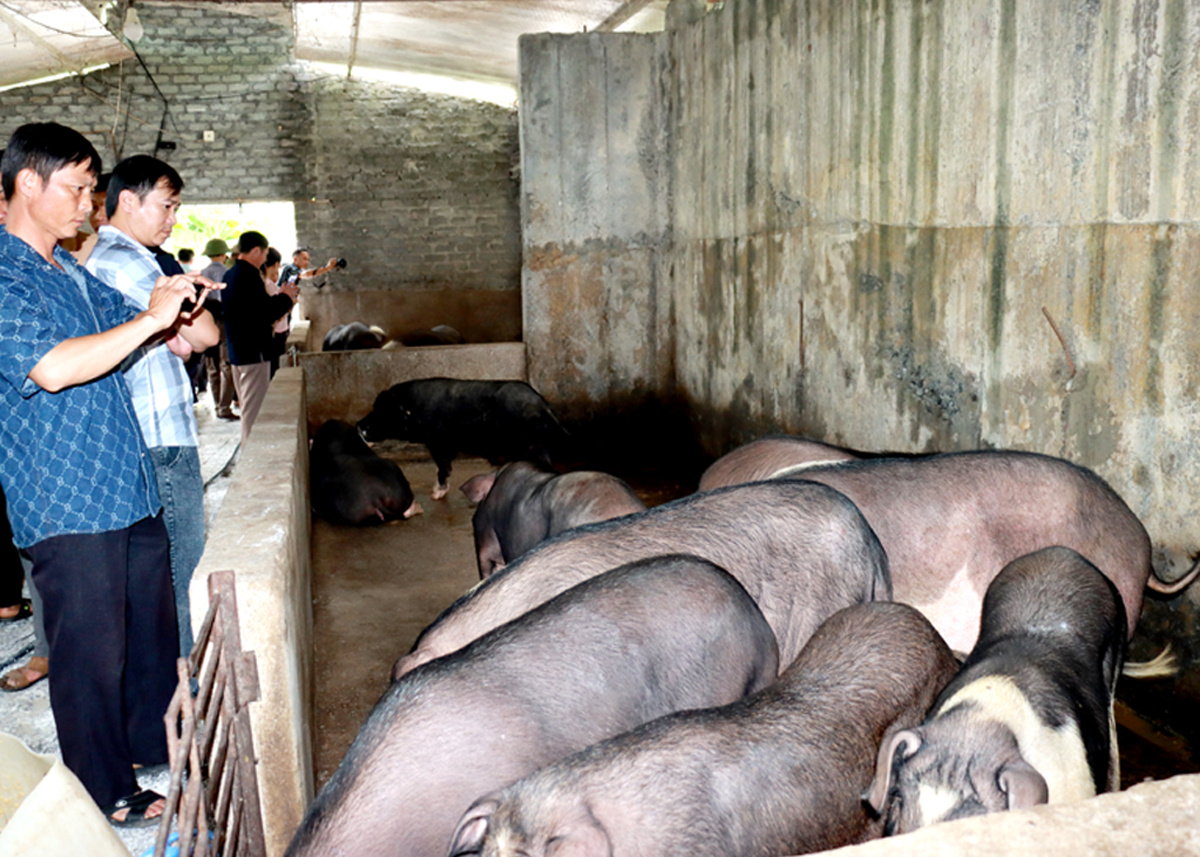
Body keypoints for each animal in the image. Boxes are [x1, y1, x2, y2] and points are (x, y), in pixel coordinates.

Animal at [355, 376, 566, 496]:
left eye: (382, 410)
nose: (359, 425)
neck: (412, 409)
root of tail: (541, 406)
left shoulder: (436, 441)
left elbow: (443, 465)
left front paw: (436, 494)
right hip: (538, 445)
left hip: (523, 445)